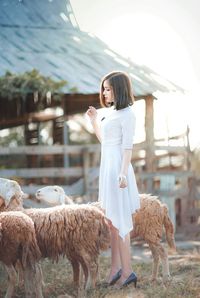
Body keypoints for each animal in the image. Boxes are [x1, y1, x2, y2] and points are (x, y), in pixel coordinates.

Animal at [35, 186, 175, 284]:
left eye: (55, 189)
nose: (37, 192)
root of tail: (161, 205)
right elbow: (86, 265)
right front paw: (88, 282)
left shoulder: (86, 243)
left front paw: (89, 283)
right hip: (150, 232)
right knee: (156, 255)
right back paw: (153, 278)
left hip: (152, 230)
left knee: (163, 253)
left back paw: (166, 277)